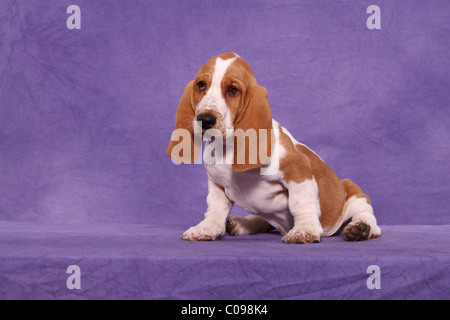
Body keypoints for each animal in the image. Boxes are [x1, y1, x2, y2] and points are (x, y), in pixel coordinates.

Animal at [167, 52, 382, 244]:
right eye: (201, 85)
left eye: (233, 89)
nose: (205, 119)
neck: (228, 148)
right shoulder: (216, 184)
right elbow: (215, 209)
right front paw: (206, 228)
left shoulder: (299, 172)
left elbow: (300, 203)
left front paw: (304, 230)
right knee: (263, 220)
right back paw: (241, 223)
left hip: (353, 193)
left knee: (368, 217)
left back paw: (361, 228)